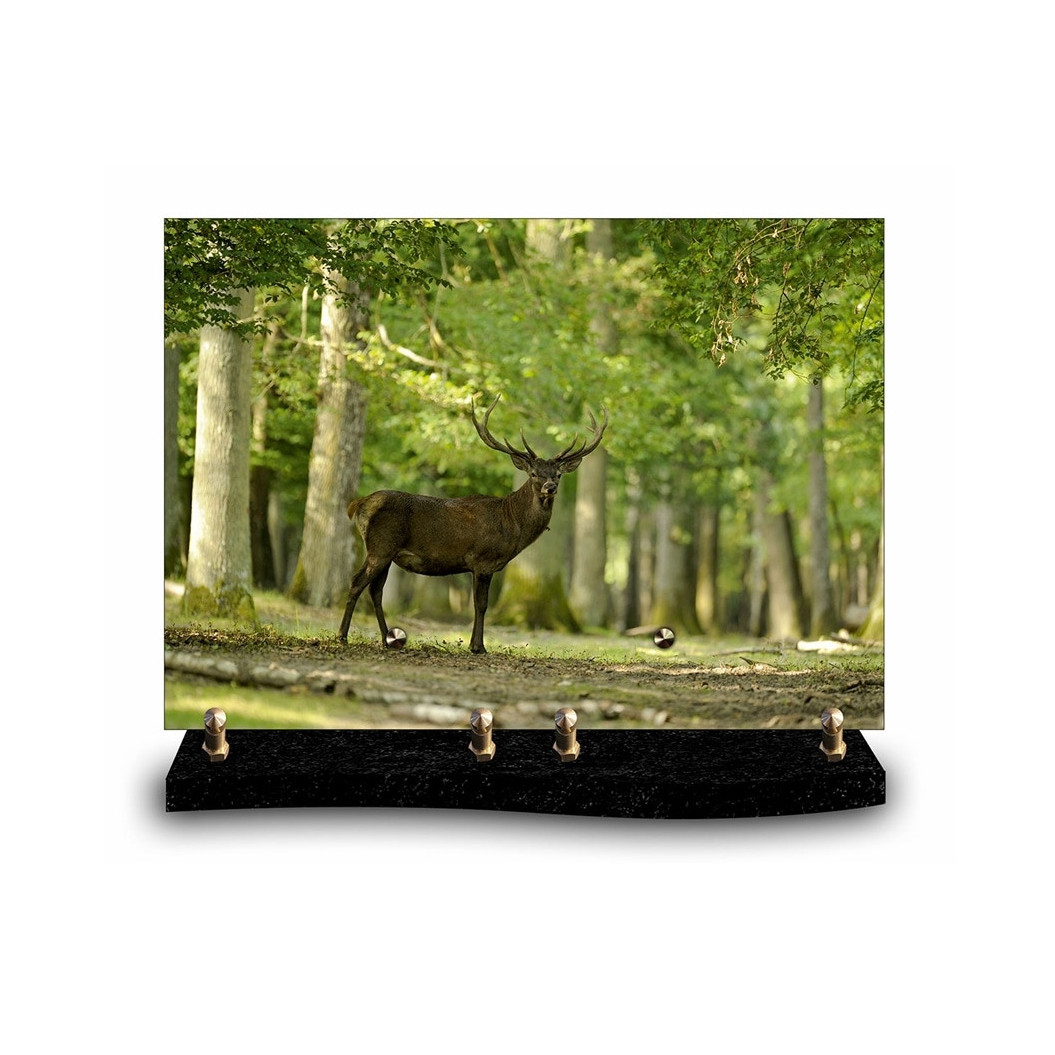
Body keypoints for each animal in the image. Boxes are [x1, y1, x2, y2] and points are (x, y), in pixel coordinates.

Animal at [338, 395, 609, 654]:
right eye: (533, 473)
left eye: (558, 474)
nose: (550, 487)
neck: (512, 524)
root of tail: (358, 504)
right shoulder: (482, 560)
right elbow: (481, 605)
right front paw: (478, 646)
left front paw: (473, 644)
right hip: (380, 546)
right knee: (357, 582)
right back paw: (342, 636)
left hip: (387, 552)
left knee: (376, 591)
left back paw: (387, 640)